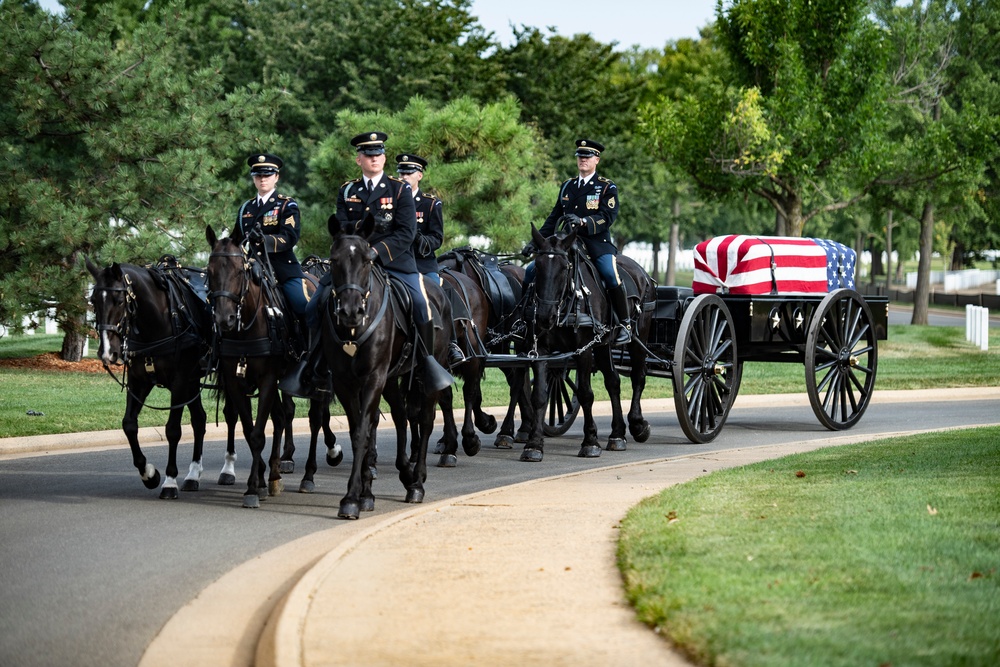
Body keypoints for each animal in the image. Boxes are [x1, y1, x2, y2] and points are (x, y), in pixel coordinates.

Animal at [322, 217, 452, 520]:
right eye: (333, 260)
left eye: (368, 261)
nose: (350, 311)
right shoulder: (346, 383)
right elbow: (362, 431)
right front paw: (364, 494)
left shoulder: (374, 378)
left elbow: (362, 433)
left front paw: (351, 498)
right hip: (392, 380)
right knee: (401, 416)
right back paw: (406, 474)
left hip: (426, 373)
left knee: (426, 420)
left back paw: (417, 482)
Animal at [508, 224, 656, 464]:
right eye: (537, 266)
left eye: (564, 267)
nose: (545, 316)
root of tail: (644, 274)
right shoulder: (541, 350)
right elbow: (539, 395)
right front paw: (534, 444)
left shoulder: (584, 350)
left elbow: (586, 394)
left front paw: (590, 442)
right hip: (604, 345)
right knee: (613, 382)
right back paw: (617, 434)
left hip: (639, 337)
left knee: (637, 377)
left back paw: (637, 424)